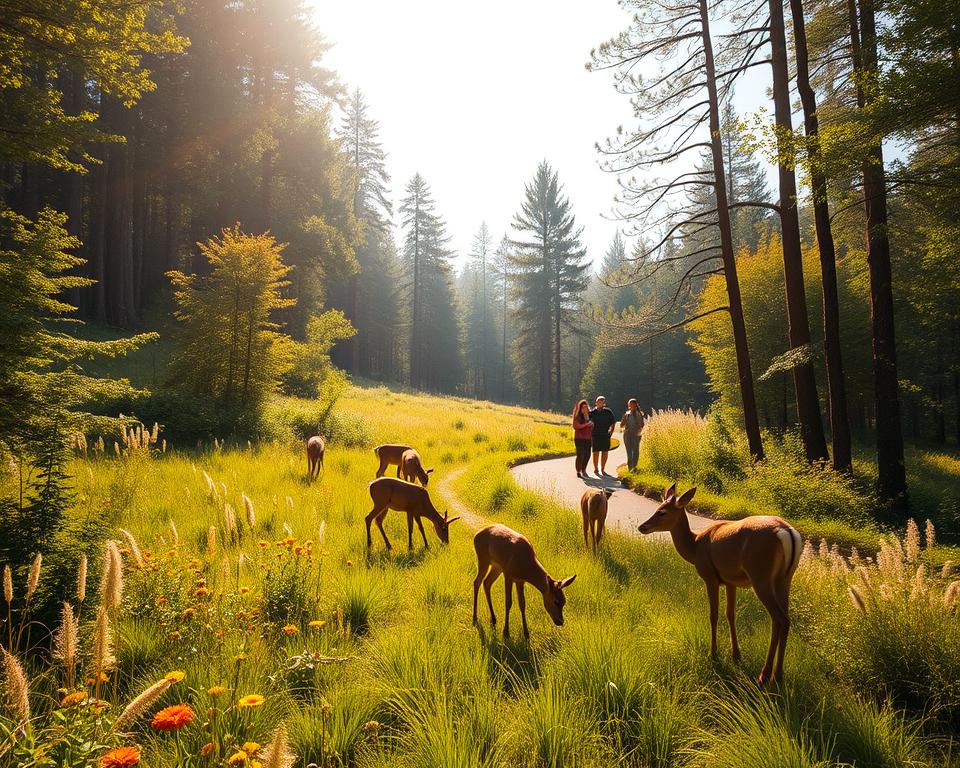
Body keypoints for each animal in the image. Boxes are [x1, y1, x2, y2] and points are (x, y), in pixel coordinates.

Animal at [638, 483, 802, 685]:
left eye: (662, 512)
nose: (642, 527)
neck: (695, 547)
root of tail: (787, 532)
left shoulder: (711, 577)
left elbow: (713, 615)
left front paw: (713, 653)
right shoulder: (731, 581)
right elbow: (731, 614)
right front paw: (736, 655)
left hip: (760, 575)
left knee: (779, 619)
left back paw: (765, 675)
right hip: (784, 579)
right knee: (786, 619)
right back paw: (778, 675)